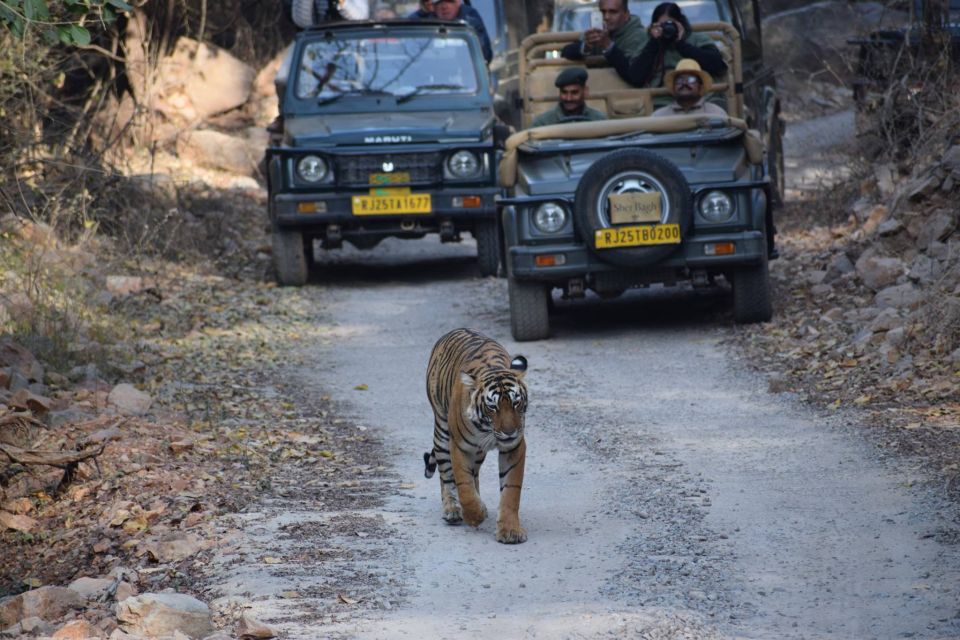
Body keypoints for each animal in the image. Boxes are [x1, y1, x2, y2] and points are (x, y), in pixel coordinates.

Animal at [424, 330, 528, 544]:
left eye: (516, 403)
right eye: (492, 406)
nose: (510, 432)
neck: (486, 429)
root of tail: (455, 330)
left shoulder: (514, 448)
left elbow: (511, 491)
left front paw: (510, 530)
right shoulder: (459, 447)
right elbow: (464, 485)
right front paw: (473, 515)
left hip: (478, 452)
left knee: (475, 474)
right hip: (442, 432)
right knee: (446, 475)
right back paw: (453, 510)